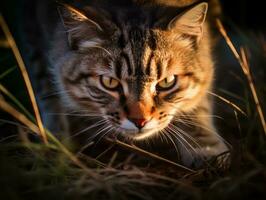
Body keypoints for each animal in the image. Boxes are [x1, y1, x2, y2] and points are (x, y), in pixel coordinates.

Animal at [19, 0, 230, 168]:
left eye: (167, 82)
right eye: (110, 82)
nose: (140, 121)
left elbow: (198, 102)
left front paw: (205, 146)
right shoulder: (33, 28)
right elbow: (47, 91)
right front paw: (55, 141)